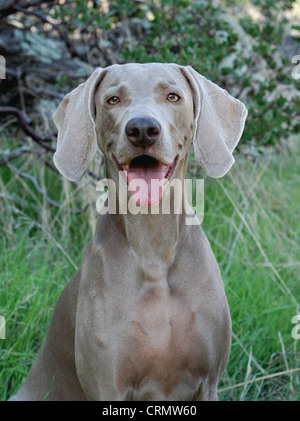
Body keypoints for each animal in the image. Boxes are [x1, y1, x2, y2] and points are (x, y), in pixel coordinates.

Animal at [10, 63, 247, 400]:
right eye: (113, 99)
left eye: (172, 96)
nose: (143, 128)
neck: (153, 249)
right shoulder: (108, 385)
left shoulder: (209, 382)